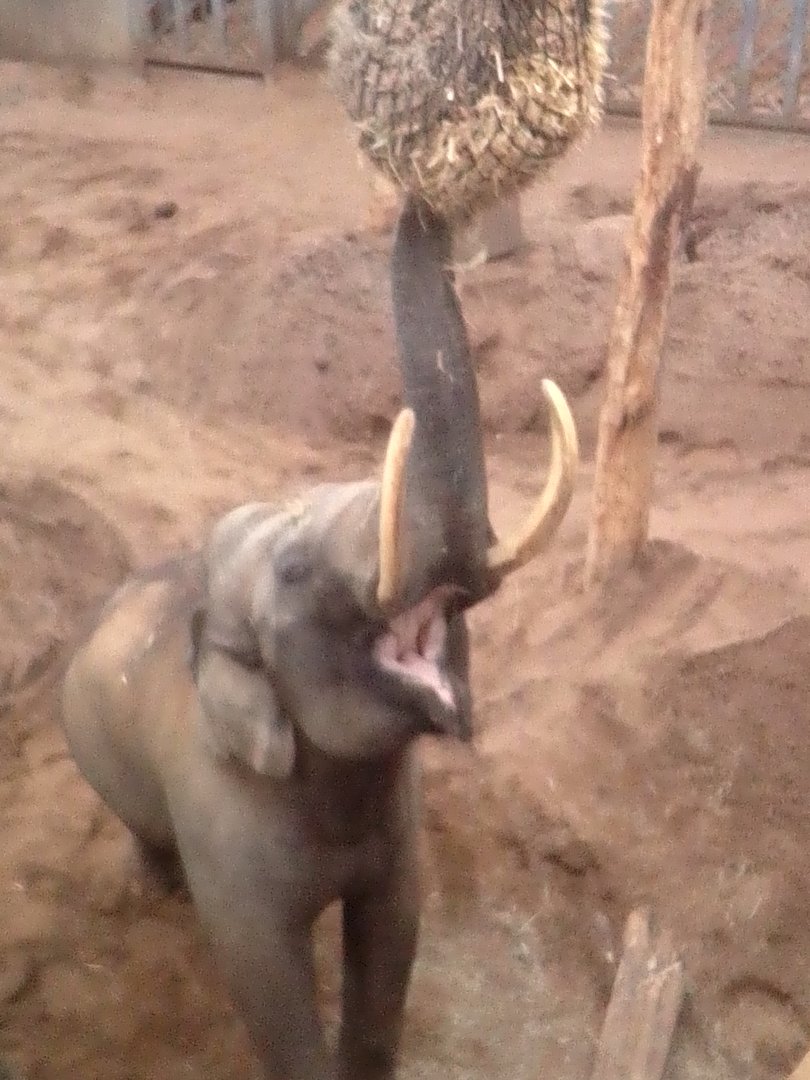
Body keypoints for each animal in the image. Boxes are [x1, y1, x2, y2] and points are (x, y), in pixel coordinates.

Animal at [60, 195, 578, 1080]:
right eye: (296, 569)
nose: (421, 205)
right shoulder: (226, 827)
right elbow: (267, 980)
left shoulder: (396, 836)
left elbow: (392, 932)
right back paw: (160, 892)